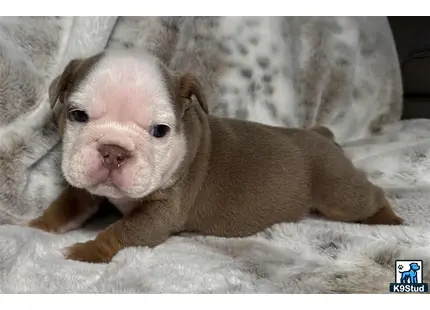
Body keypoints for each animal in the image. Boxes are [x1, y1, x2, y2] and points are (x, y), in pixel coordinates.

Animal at [28, 49, 404, 264]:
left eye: (160, 130)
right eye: (77, 115)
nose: (113, 151)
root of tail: (321, 134)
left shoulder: (160, 213)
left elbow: (120, 232)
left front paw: (86, 252)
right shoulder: (86, 188)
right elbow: (66, 206)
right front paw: (36, 227)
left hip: (337, 190)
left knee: (368, 196)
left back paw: (390, 220)